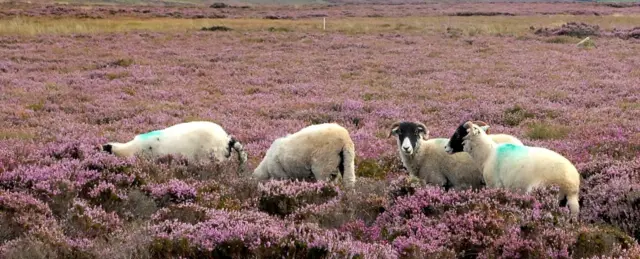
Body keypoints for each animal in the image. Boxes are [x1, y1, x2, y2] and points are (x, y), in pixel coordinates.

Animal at [388, 121, 524, 191]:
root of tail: (520, 143)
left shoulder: (438, 181)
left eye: (416, 132)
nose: (406, 148)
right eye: (400, 132)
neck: (423, 153)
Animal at [444, 122, 580, 217]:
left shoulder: (495, 185)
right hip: (568, 202)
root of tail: (572, 183)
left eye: (458, 134)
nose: (446, 147)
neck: (488, 154)